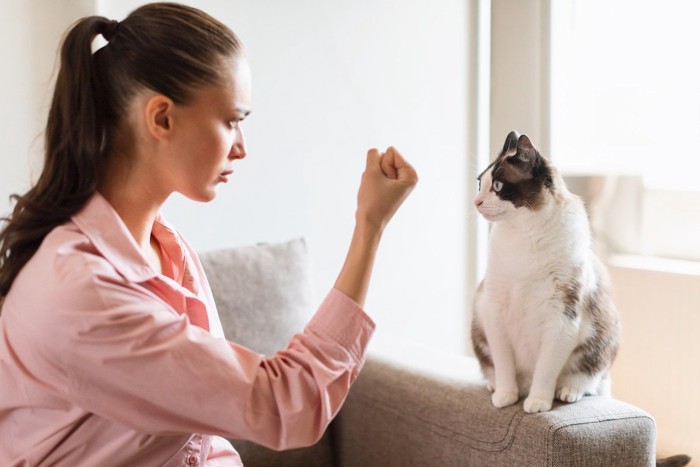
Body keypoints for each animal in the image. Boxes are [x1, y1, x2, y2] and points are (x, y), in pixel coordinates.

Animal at [470, 130, 616, 414]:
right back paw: (497, 386)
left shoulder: (562, 317)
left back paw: (567, 392)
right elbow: (503, 365)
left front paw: (538, 402)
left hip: (602, 344)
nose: (476, 202)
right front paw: (506, 395)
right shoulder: (493, 309)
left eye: (498, 187)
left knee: (587, 380)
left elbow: (546, 369)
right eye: (480, 183)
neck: (522, 234)